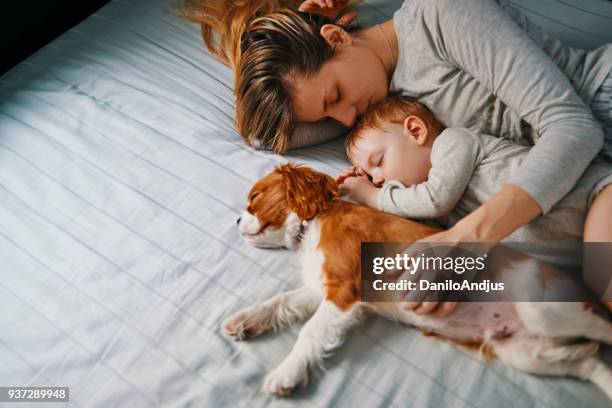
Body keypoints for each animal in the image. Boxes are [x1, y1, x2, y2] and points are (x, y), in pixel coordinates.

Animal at [224, 163, 612, 398]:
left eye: (255, 197)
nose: (236, 220)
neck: (315, 221)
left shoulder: (345, 290)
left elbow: (310, 332)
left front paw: (286, 373)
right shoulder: (321, 289)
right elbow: (281, 302)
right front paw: (244, 321)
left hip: (545, 310)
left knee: (603, 331)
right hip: (522, 351)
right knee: (590, 363)